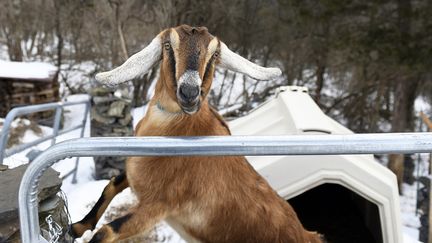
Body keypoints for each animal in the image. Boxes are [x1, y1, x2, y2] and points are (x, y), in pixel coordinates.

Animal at [70, 25, 320, 243]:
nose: (189, 93)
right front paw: (77, 227)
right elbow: (111, 184)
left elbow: (106, 231)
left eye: (214, 54)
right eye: (168, 46)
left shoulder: (159, 205)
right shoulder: (134, 176)